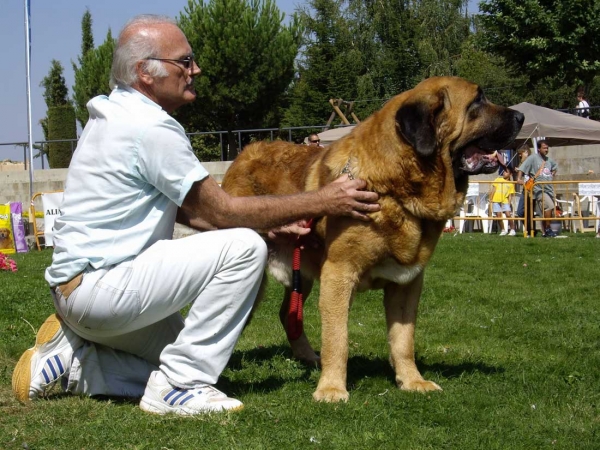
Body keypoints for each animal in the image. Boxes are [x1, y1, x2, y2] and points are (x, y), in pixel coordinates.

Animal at [221, 75, 524, 402]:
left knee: (289, 314)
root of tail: (241, 157)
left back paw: (307, 356)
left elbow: (404, 339)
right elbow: (337, 338)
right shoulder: (339, 273)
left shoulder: (407, 282)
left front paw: (412, 381)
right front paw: (331, 388)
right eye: (477, 101)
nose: (521, 116)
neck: (397, 187)